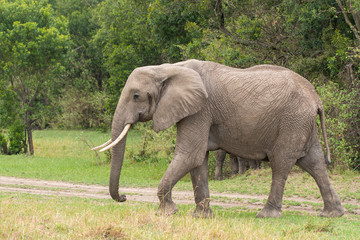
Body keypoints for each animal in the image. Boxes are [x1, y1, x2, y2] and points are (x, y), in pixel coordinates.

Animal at [93, 59, 344, 218]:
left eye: (136, 96)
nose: (124, 197)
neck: (168, 68)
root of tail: (317, 98)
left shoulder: (200, 110)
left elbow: (189, 155)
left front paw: (166, 214)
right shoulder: (196, 111)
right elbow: (197, 161)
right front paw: (201, 217)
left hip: (293, 121)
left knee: (281, 164)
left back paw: (266, 215)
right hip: (302, 122)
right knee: (314, 163)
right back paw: (333, 214)